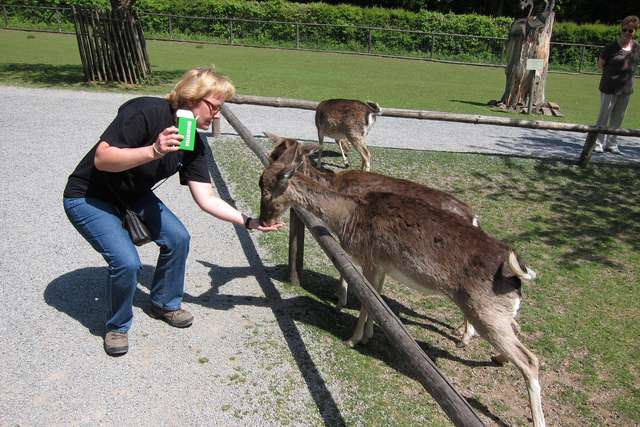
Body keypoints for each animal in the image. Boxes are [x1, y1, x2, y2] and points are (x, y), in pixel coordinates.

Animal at [264, 134, 480, 348]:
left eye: (285, 160)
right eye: (272, 155)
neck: (333, 187)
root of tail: (474, 218)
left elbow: (346, 270)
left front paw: (340, 301)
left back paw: (465, 337)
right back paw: (460, 330)